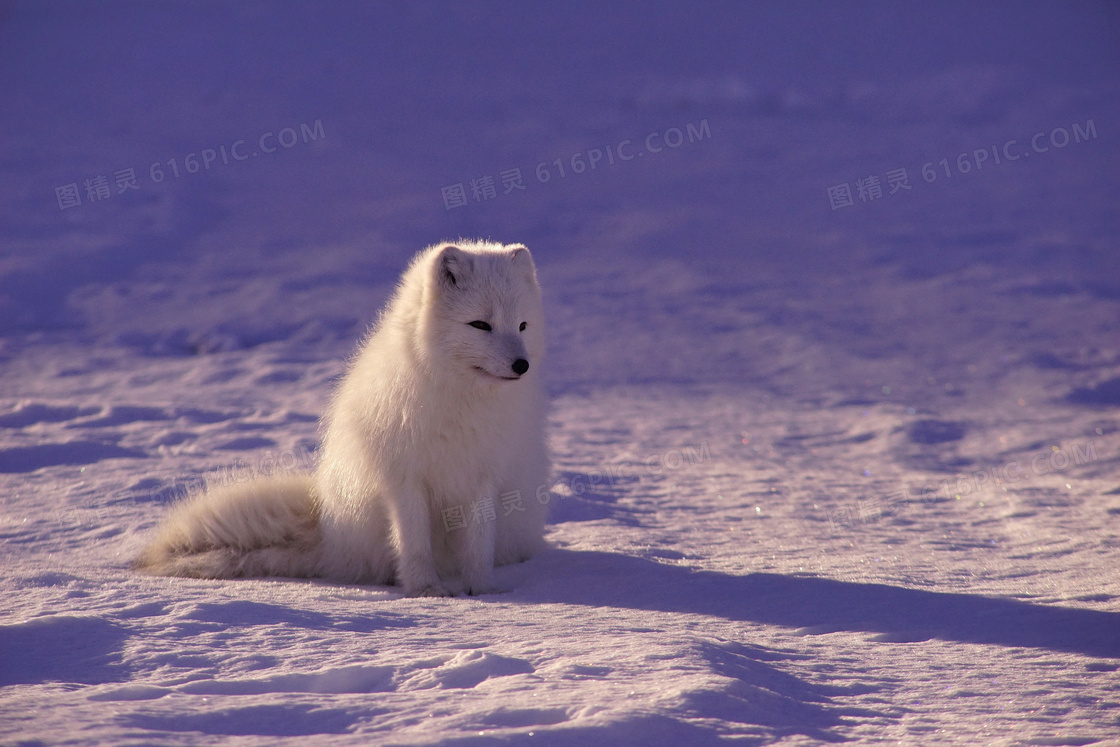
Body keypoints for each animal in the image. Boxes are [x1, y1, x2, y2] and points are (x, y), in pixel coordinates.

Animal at [135, 243, 551, 600]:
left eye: (522, 326)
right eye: (480, 325)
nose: (522, 365)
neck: (461, 401)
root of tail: (329, 535)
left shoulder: (482, 478)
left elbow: (478, 546)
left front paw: (482, 590)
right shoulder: (404, 479)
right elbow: (414, 543)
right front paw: (426, 590)